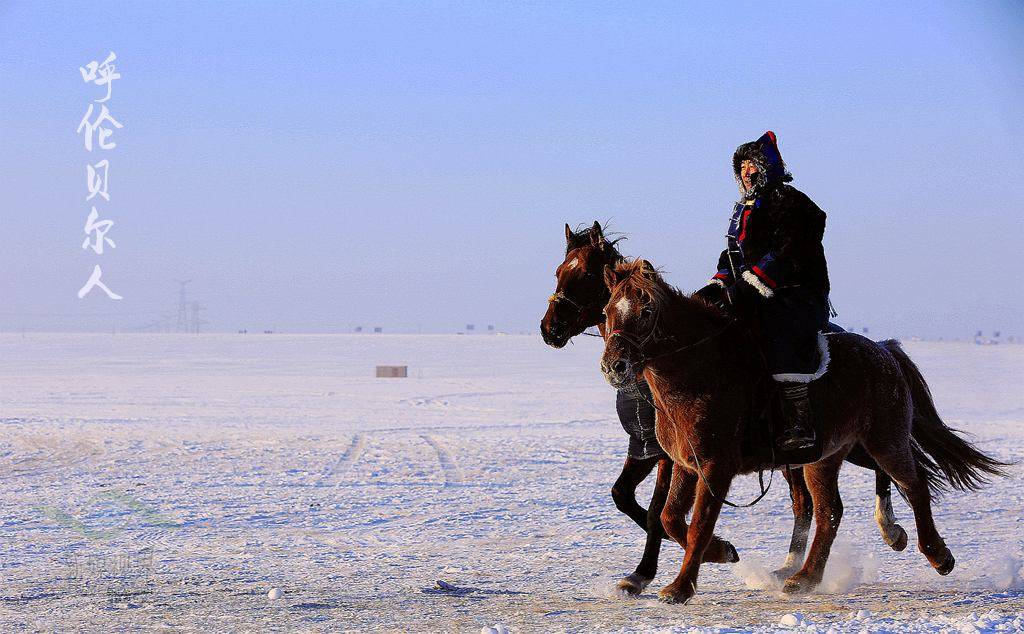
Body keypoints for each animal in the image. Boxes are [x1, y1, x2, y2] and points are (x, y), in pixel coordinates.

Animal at [540, 223, 909, 594]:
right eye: (559, 271)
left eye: (586, 274)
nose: (549, 329)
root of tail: (879, 349)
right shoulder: (647, 447)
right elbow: (628, 498)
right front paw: (650, 568)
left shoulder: (665, 454)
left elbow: (656, 509)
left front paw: (663, 566)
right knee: (809, 502)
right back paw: (796, 564)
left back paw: (888, 530)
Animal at [598, 259, 1007, 606]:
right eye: (607, 312)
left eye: (646, 311)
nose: (614, 366)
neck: (700, 372)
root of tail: (885, 350)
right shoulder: (685, 463)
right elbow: (670, 518)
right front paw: (722, 551)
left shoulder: (716, 467)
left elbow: (698, 523)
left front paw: (680, 587)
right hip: (825, 456)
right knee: (830, 510)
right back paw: (806, 576)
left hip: (884, 441)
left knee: (914, 485)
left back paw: (936, 555)